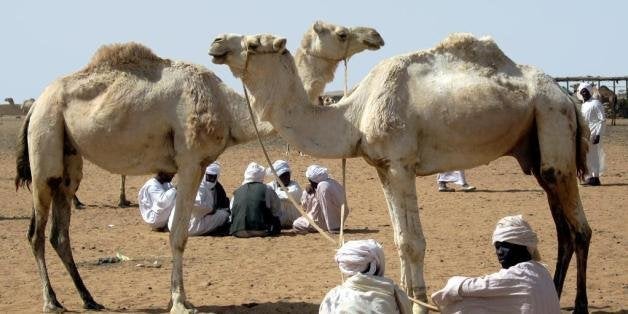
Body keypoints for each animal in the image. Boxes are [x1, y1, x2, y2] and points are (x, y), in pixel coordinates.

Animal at [14, 22, 386, 314]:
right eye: (341, 33)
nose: (375, 35)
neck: (228, 108)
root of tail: (35, 104)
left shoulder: (197, 162)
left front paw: (175, 298)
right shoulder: (190, 161)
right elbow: (178, 233)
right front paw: (181, 303)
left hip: (69, 157)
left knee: (60, 230)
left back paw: (88, 299)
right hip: (46, 139)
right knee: (36, 232)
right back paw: (51, 302)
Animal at [211, 33, 592, 312]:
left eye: (254, 43)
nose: (216, 43)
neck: (354, 114)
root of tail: (566, 96)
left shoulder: (400, 163)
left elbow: (412, 243)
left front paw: (421, 305)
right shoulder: (384, 166)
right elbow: (398, 240)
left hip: (552, 122)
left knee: (580, 229)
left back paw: (579, 304)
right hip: (537, 145)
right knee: (562, 229)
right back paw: (555, 294)